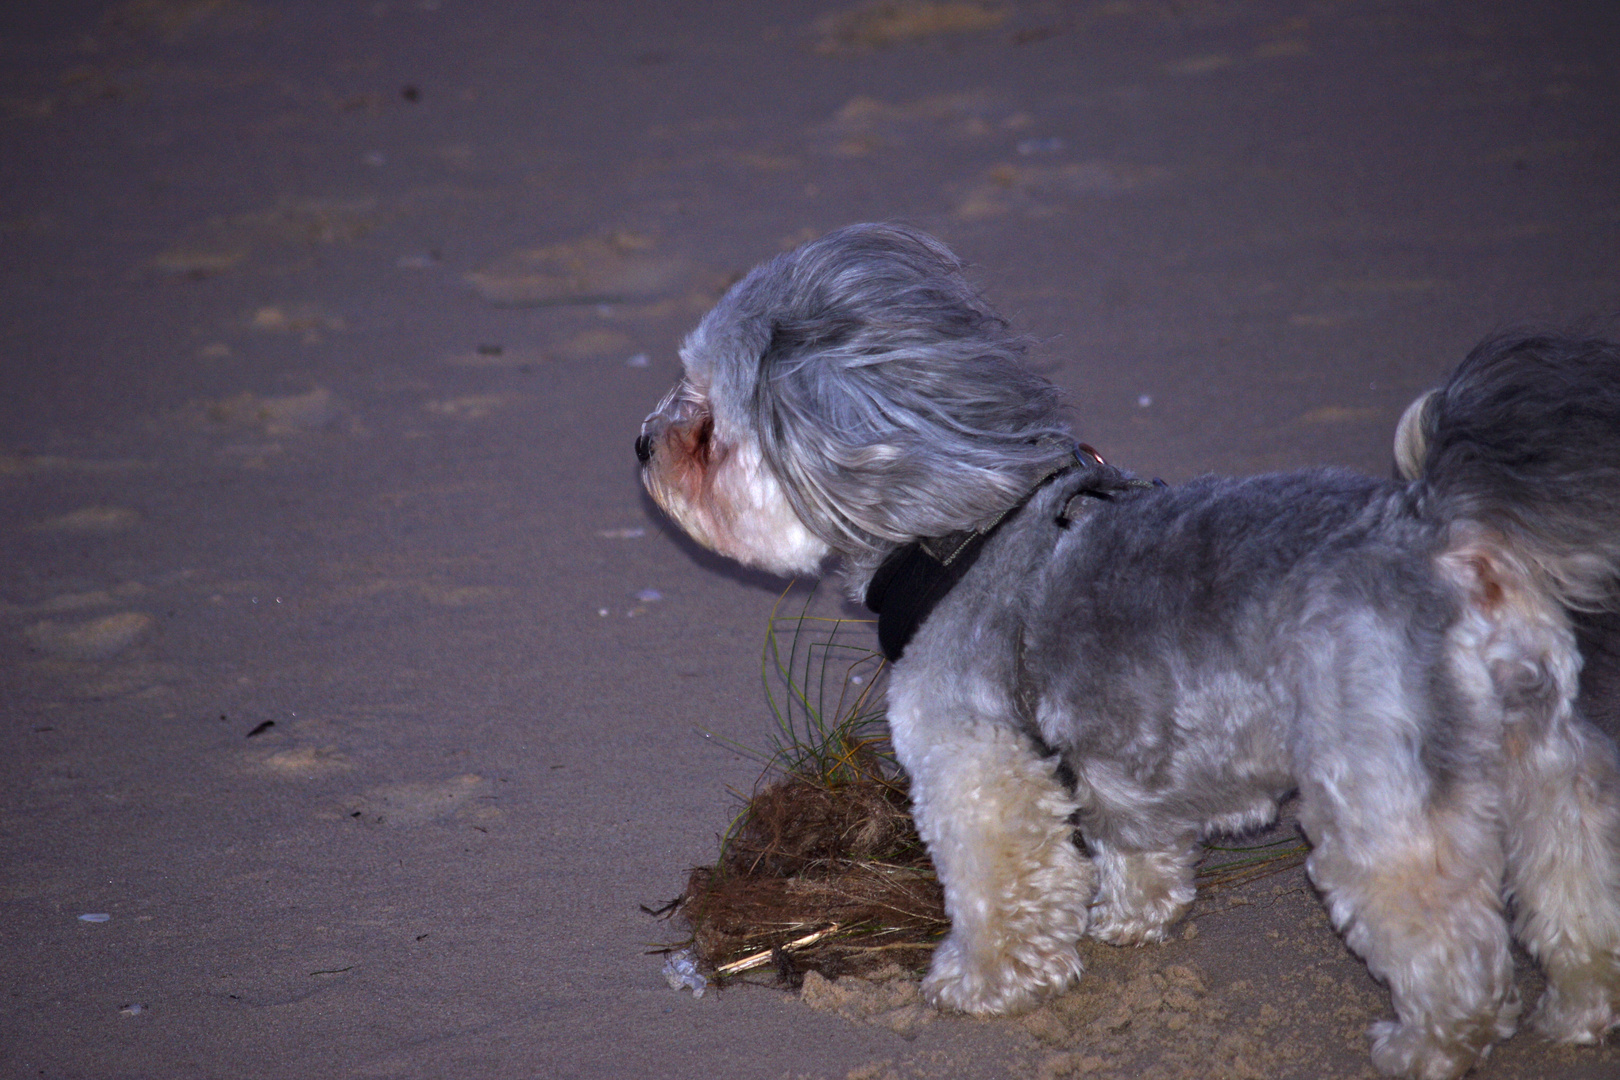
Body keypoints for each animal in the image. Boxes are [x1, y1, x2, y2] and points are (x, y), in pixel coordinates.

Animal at [635, 223, 1620, 1075]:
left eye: (707, 430)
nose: (642, 443)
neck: (959, 530)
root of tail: (1439, 532)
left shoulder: (976, 772)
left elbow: (997, 888)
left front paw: (982, 981)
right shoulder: (1121, 769)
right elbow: (1135, 842)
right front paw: (1130, 919)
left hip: (1380, 799)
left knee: (1453, 948)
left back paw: (1428, 1046)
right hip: (1543, 767)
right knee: (1578, 890)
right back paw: (1583, 1012)